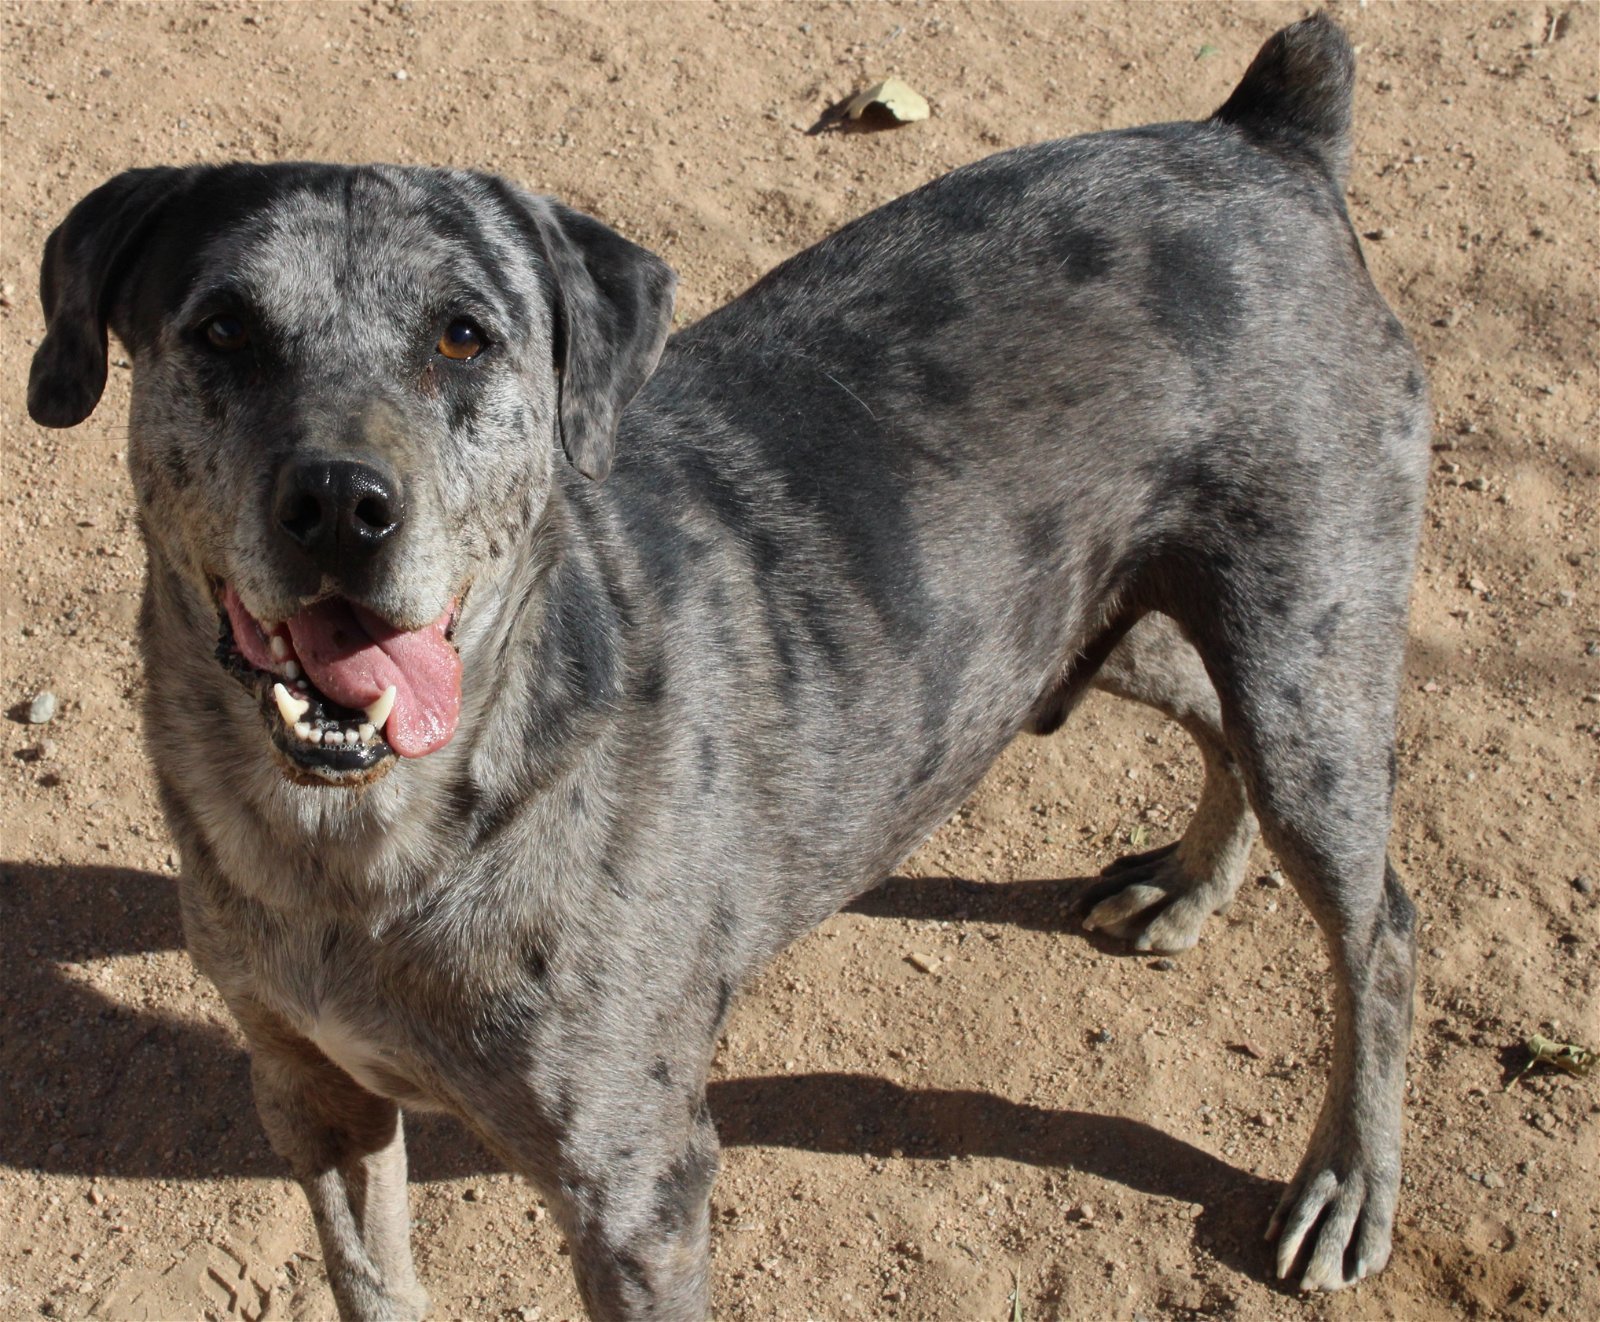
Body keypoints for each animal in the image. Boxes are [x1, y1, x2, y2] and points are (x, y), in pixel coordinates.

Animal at [25, 12, 1427, 1318]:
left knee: (1383, 921)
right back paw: (1186, 887)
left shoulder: (637, 1187)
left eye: (464, 337)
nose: (339, 506)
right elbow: (374, 1280)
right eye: (222, 327)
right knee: (1207, 714)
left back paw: (1348, 1184)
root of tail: (1261, 139)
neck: (359, 848)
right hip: (1084, 624)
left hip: (1306, 654)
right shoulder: (310, 1094)